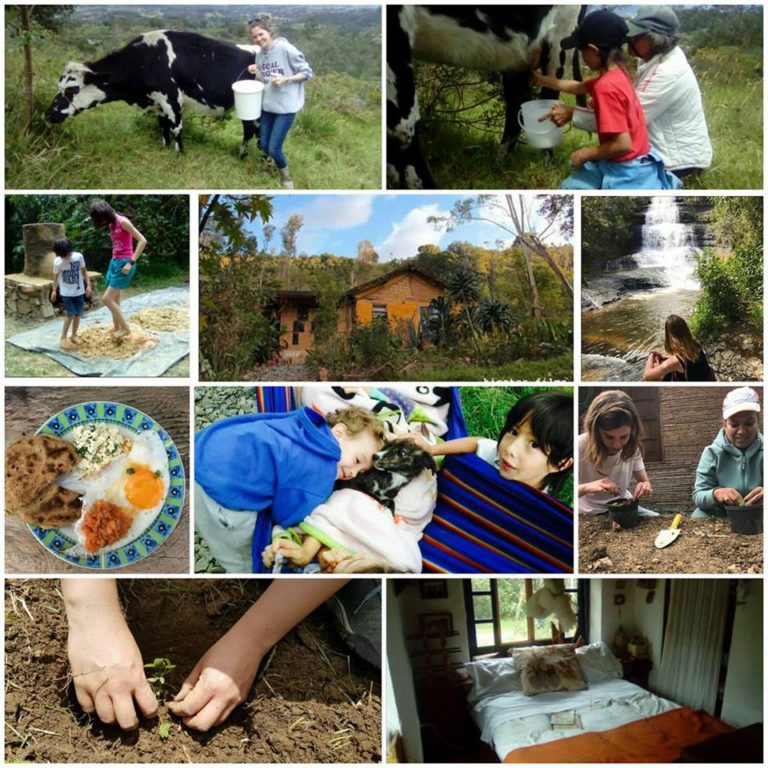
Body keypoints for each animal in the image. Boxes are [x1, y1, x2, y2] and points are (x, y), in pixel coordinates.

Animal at [48, 30, 264, 156]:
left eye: (72, 88)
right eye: (58, 86)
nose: (48, 114)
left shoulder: (171, 98)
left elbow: (176, 128)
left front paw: (179, 154)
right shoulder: (158, 101)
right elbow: (163, 126)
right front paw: (165, 147)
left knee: (256, 132)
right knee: (251, 130)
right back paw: (243, 156)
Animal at [388, 5, 584, 188]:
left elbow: (402, 124)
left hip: (559, 42)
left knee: (548, 99)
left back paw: (547, 167)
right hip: (517, 58)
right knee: (516, 105)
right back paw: (499, 162)